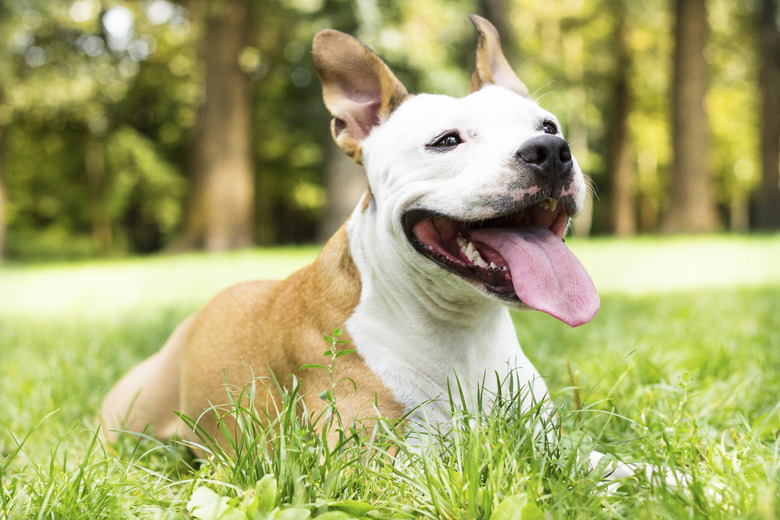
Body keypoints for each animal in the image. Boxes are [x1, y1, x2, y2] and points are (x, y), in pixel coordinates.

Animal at [97, 15, 596, 450]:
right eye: (447, 141)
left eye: (548, 125)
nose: (551, 150)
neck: (462, 328)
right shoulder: (379, 462)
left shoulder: (554, 443)